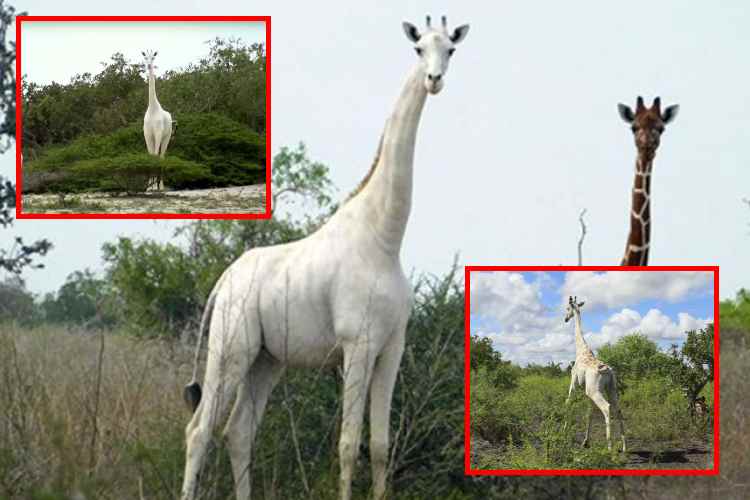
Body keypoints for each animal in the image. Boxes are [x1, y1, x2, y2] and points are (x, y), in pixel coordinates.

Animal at [179, 16, 469, 500]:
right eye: (417, 49)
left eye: (450, 49)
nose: (434, 80)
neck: (384, 238)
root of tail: (222, 282)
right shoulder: (358, 343)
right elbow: (349, 444)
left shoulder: (392, 347)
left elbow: (380, 446)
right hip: (231, 348)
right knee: (199, 430)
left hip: (267, 359)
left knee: (238, 431)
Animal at [564, 296, 626, 452]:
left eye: (567, 308)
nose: (565, 318)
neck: (581, 349)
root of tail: (607, 370)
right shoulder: (587, 392)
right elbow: (589, 414)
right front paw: (585, 442)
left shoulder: (573, 383)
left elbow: (568, 402)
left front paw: (564, 432)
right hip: (611, 388)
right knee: (618, 409)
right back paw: (624, 447)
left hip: (595, 391)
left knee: (607, 408)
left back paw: (609, 448)